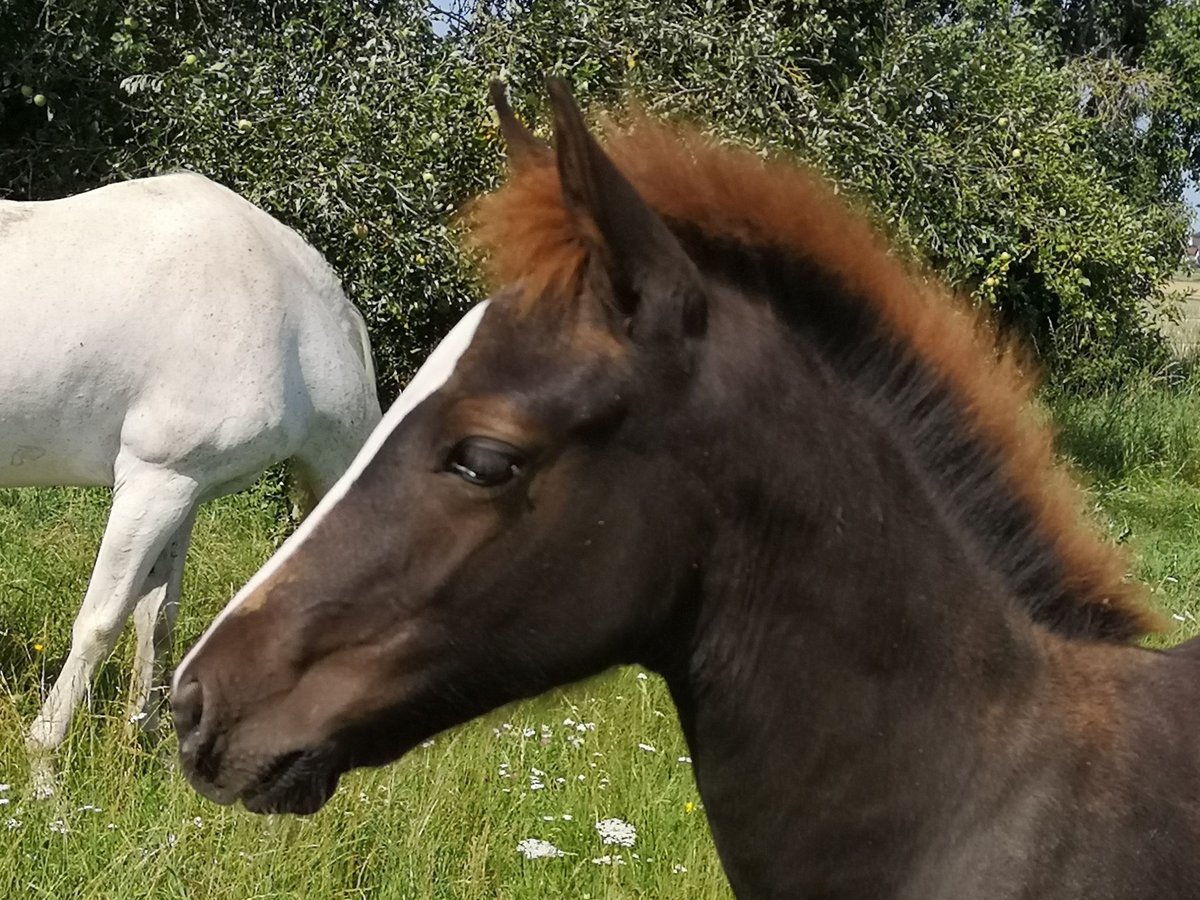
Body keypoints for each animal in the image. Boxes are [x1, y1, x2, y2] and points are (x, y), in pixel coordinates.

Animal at [0, 170, 379, 787]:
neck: (291, 325)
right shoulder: (155, 482)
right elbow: (100, 623)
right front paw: (43, 769)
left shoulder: (186, 492)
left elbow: (156, 617)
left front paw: (144, 743)